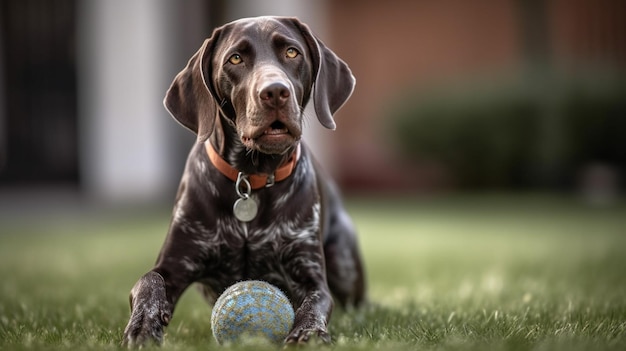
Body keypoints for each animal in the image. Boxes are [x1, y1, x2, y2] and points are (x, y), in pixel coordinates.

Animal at [121, 15, 364, 346]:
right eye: (235, 58)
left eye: (292, 52)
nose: (275, 92)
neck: (251, 177)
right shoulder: (174, 262)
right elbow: (149, 281)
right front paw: (144, 324)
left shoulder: (310, 273)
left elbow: (316, 302)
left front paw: (309, 331)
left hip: (343, 264)